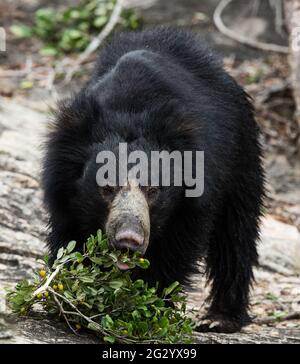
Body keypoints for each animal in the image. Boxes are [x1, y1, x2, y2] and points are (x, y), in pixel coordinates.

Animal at [42, 27, 264, 332]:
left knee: (236, 232)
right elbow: (70, 238)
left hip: (242, 156)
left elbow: (174, 252)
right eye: (106, 188)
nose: (128, 240)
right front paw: (77, 300)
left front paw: (143, 308)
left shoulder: (194, 199)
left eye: (153, 190)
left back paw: (220, 318)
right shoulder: (62, 186)